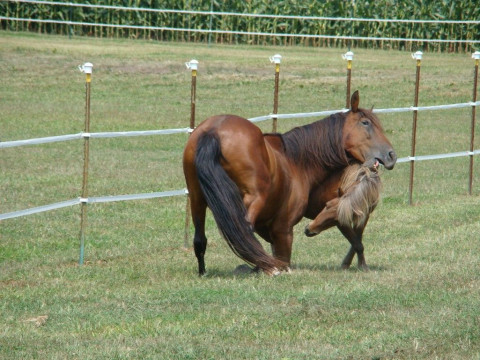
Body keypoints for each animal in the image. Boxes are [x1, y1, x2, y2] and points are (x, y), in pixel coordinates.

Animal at [182, 90, 396, 276]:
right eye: (365, 123)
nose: (391, 155)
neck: (298, 162)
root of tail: (213, 131)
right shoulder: (284, 229)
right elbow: (284, 259)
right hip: (252, 199)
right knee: (244, 231)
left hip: (197, 199)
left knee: (200, 239)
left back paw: (204, 272)